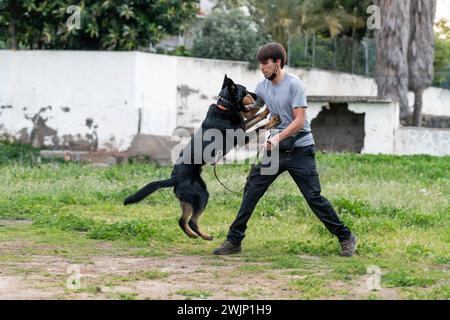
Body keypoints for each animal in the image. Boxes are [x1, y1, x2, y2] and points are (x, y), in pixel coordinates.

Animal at [123, 75, 278, 240]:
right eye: (245, 91)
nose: (257, 96)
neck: (225, 107)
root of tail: (174, 178)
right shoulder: (243, 138)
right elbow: (260, 127)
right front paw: (274, 121)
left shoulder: (243, 127)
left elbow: (255, 119)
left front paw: (266, 111)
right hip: (202, 195)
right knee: (192, 220)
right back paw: (205, 236)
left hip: (190, 199)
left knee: (181, 220)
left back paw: (192, 235)